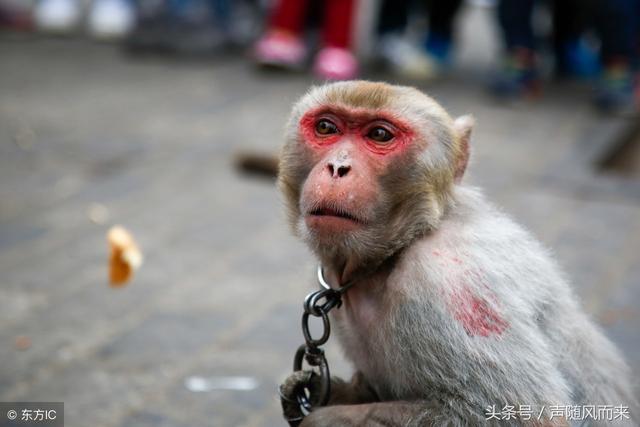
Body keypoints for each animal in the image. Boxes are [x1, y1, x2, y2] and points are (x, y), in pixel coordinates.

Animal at [278, 81, 636, 427]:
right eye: (326, 127)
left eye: (379, 134)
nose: (337, 167)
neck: (402, 245)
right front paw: (318, 392)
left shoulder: (449, 285)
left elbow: (532, 416)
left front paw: (324, 417)